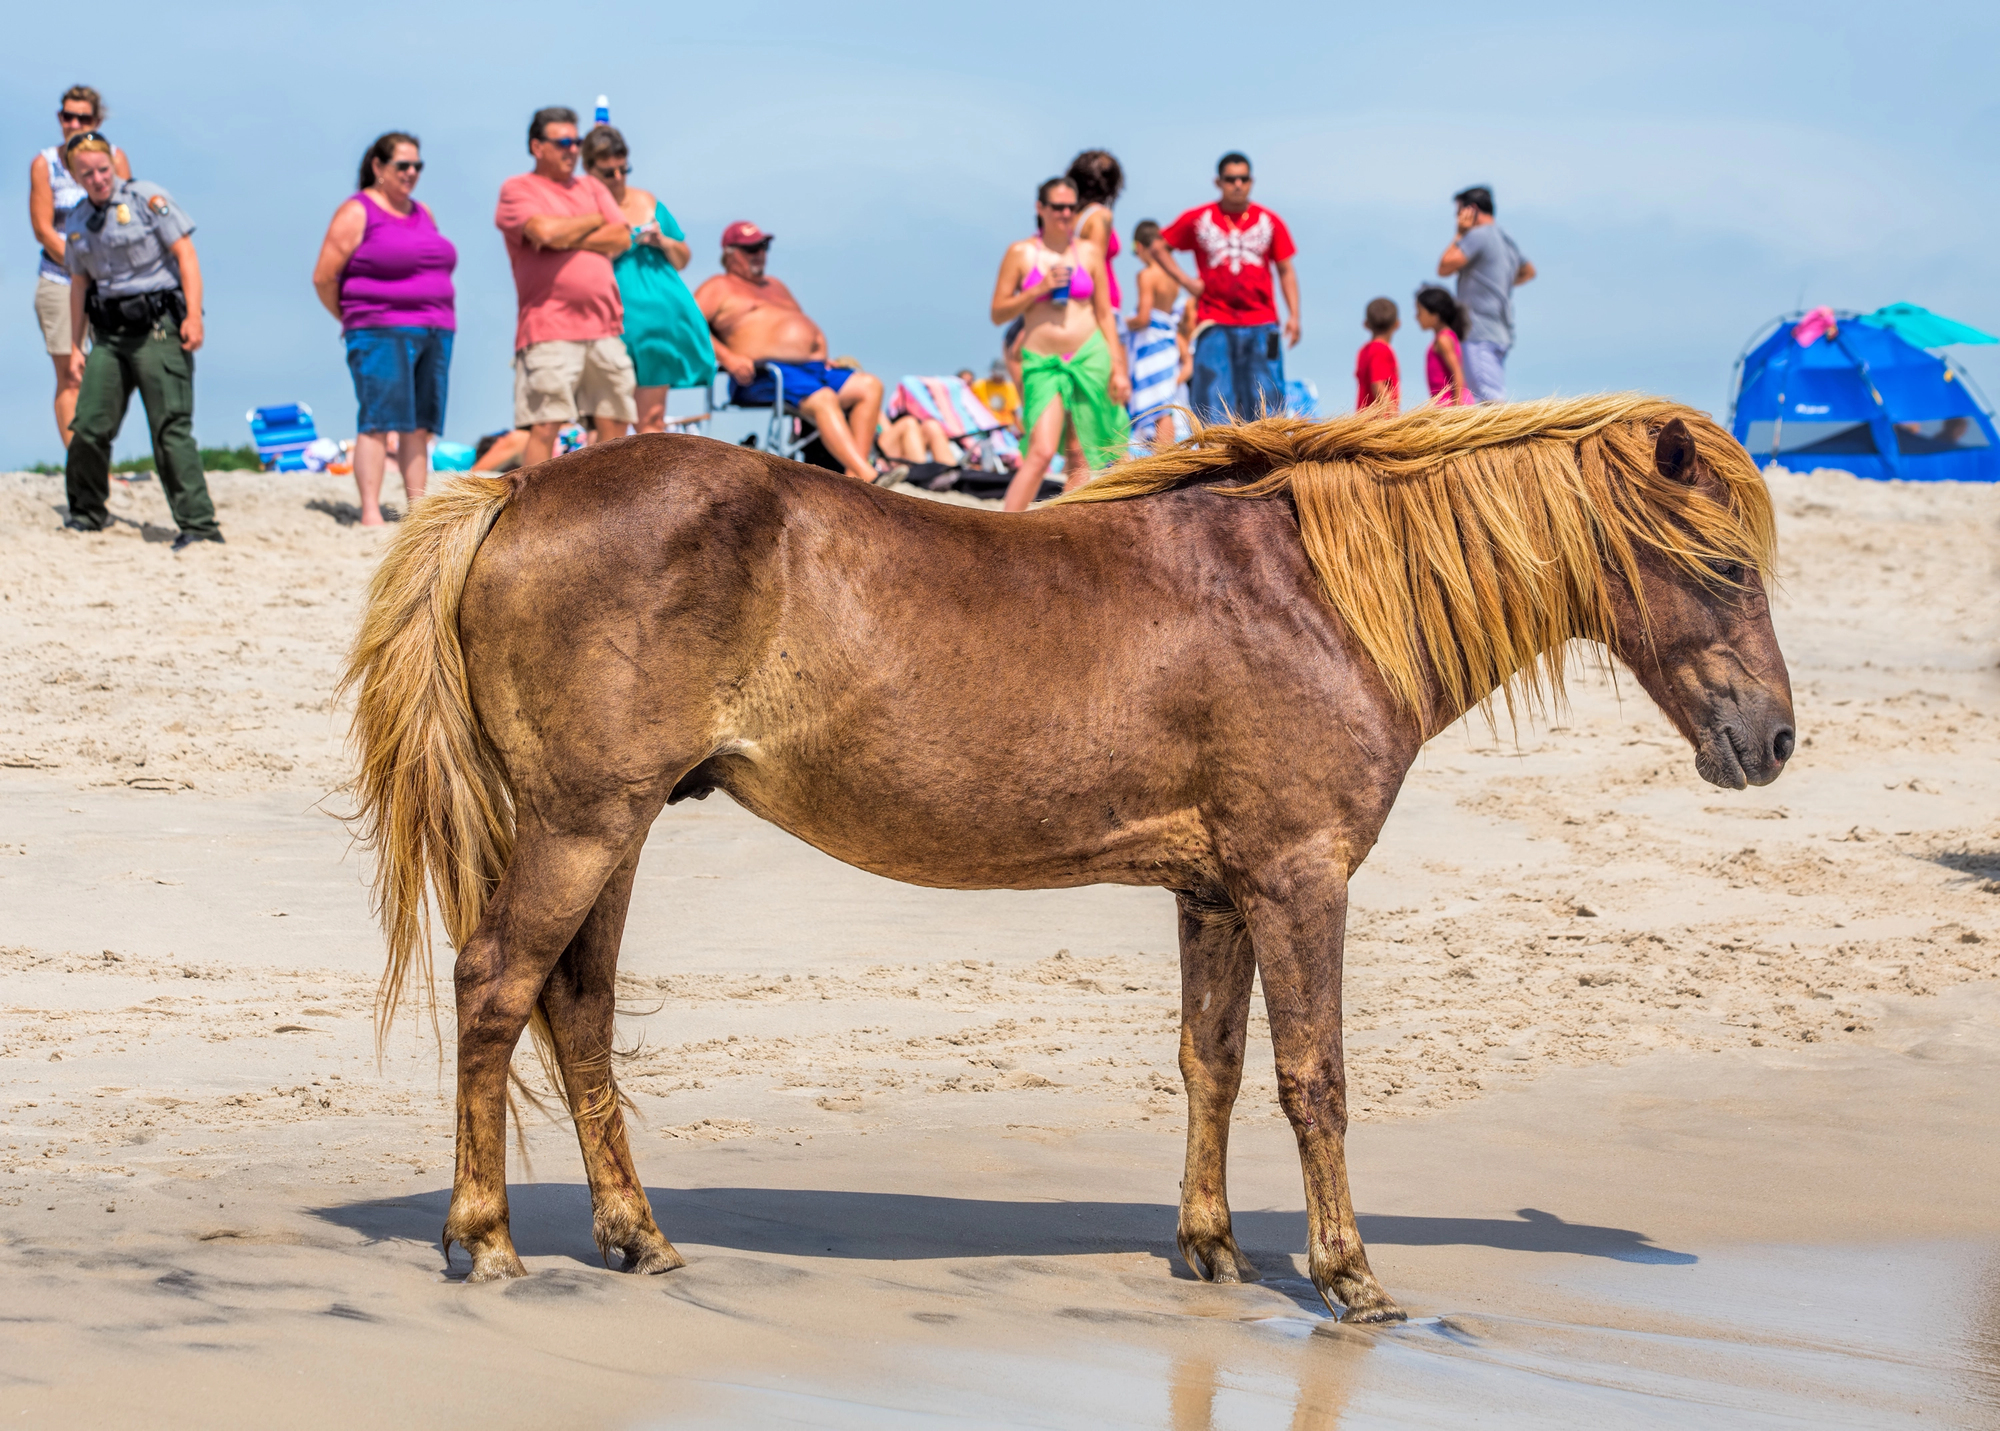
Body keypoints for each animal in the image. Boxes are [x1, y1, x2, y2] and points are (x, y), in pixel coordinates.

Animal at [342, 394, 1792, 1323]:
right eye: (1724, 565)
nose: (1770, 739)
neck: (1314, 596)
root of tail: (522, 482)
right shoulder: (1298, 878)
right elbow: (1313, 1078)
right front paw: (1348, 1274)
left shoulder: (1216, 890)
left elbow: (1211, 1065)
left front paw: (1209, 1250)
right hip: (582, 822)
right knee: (495, 987)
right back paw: (486, 1239)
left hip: (619, 823)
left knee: (576, 1008)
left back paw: (636, 1238)